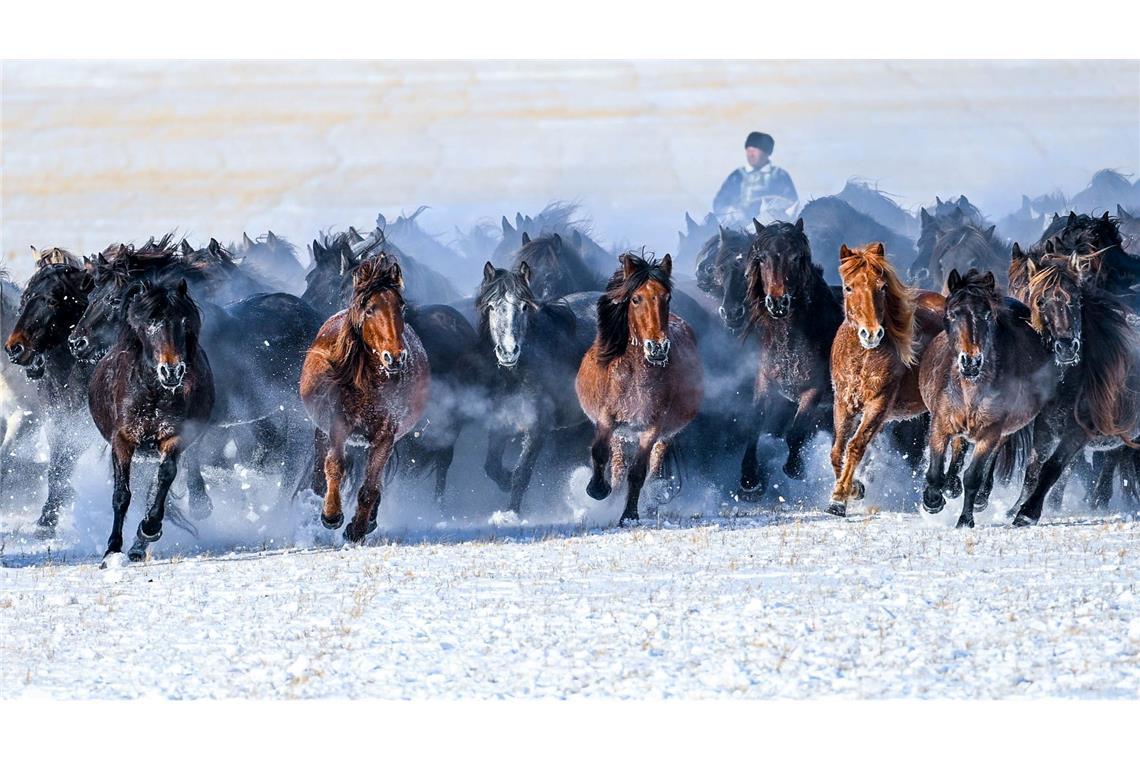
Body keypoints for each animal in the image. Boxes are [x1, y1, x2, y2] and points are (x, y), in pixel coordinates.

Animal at [300, 258, 428, 544]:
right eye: (369, 309)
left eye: (401, 306)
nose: (395, 357)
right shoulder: (338, 426)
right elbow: (335, 466)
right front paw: (331, 515)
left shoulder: (385, 436)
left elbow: (370, 487)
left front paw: (357, 529)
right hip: (321, 433)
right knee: (319, 472)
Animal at [579, 252, 702, 526]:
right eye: (636, 299)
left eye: (667, 297)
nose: (658, 348)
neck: (635, 377)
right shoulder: (607, 417)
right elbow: (600, 452)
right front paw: (597, 490)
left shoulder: (653, 426)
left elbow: (638, 472)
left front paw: (629, 516)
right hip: (621, 434)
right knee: (617, 466)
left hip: (664, 435)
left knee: (653, 469)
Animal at [825, 243, 948, 517]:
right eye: (848, 287)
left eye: (881, 287)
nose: (871, 334)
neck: (862, 358)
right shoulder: (843, 403)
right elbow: (838, 450)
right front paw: (853, 489)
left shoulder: (878, 405)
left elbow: (855, 446)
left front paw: (840, 497)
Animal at [916, 268, 1048, 528]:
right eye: (953, 314)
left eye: (988, 315)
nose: (971, 361)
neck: (970, 389)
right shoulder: (940, 424)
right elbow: (935, 469)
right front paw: (933, 500)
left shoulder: (990, 431)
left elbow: (974, 477)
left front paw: (965, 519)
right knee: (959, 448)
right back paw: (950, 487)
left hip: (1002, 431)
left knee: (990, 459)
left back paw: (978, 498)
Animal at [1012, 258, 1135, 526]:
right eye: (1040, 301)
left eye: (1077, 299)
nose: (1067, 347)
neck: (1067, 383)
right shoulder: (1044, 428)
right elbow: (1034, 467)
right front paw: (1014, 508)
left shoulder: (1077, 432)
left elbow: (1052, 468)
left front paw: (1027, 513)